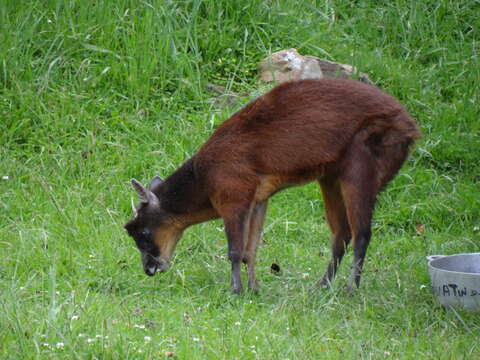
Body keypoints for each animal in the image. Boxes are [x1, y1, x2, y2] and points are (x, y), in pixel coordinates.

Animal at [124, 79, 420, 292]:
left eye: (143, 232)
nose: (150, 269)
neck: (203, 179)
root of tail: (410, 127)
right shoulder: (258, 199)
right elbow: (250, 250)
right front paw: (254, 289)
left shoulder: (233, 196)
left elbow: (235, 250)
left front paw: (235, 291)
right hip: (331, 177)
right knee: (342, 234)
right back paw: (322, 286)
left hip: (361, 165)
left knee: (362, 234)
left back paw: (350, 290)